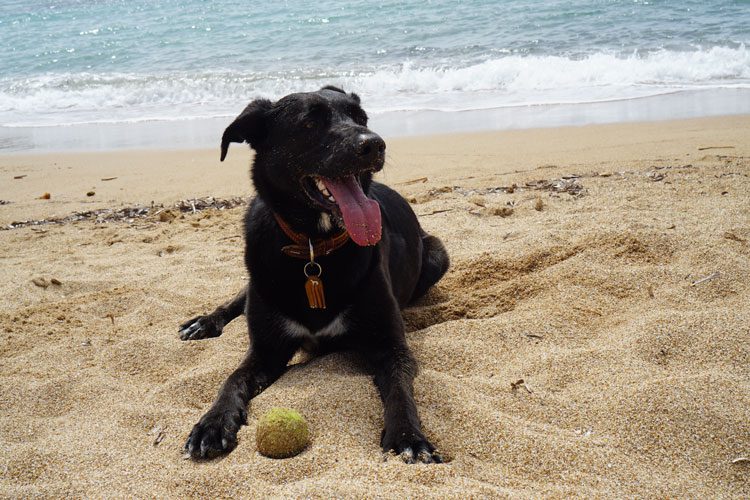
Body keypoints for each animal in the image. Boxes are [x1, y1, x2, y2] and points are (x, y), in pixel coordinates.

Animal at [181, 86, 452, 464]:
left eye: (361, 117)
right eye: (309, 123)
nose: (375, 144)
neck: (314, 249)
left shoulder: (390, 345)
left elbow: (400, 389)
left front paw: (408, 436)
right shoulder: (266, 349)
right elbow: (233, 378)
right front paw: (213, 422)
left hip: (439, 254)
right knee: (240, 297)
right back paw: (205, 322)